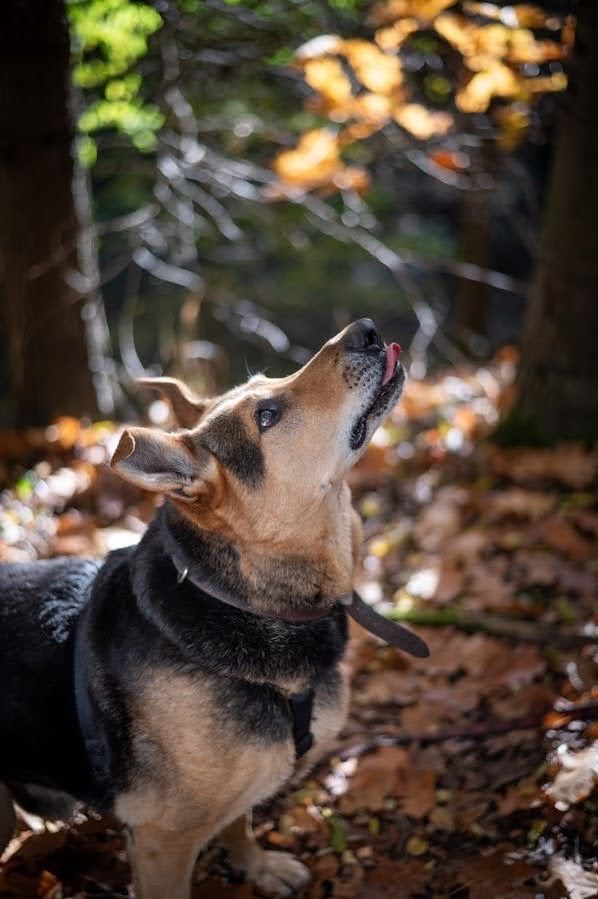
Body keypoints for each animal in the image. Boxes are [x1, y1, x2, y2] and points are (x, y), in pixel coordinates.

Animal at [0, 320, 410, 899]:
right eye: (267, 416)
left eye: (268, 384)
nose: (367, 331)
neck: (236, 599)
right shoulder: (161, 841)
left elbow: (239, 820)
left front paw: (256, 866)